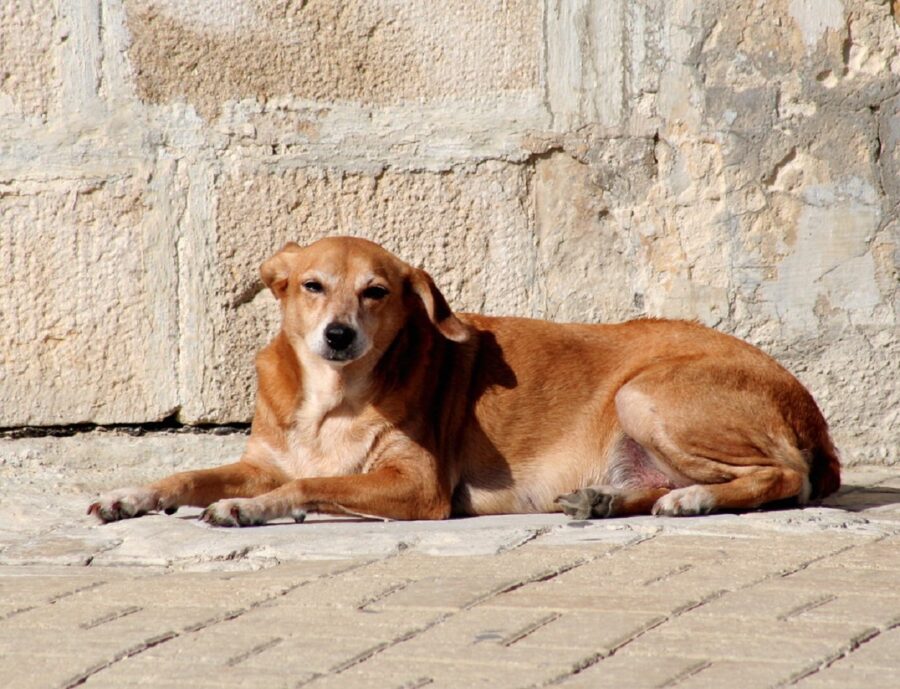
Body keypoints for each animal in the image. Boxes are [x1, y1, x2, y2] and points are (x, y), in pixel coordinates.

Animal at [88, 238, 840, 528]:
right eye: (312, 286)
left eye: (377, 291)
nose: (338, 335)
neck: (331, 398)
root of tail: (811, 408)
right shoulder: (261, 459)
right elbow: (185, 476)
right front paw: (132, 495)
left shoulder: (417, 486)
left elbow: (305, 485)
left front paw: (250, 509)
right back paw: (603, 498)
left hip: (643, 393)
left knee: (788, 475)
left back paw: (695, 499)